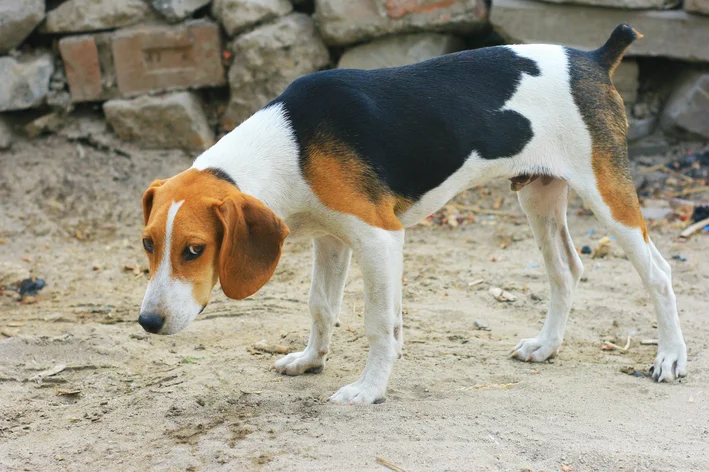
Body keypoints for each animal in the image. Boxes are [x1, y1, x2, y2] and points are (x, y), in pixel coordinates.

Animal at [137, 24, 684, 404]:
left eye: (194, 250)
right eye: (147, 244)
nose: (147, 322)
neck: (289, 145)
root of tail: (593, 58)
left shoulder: (380, 239)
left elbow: (379, 324)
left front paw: (368, 389)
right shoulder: (331, 239)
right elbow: (321, 306)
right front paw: (311, 361)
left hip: (607, 195)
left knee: (658, 273)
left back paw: (670, 359)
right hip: (538, 195)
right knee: (566, 270)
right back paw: (546, 347)